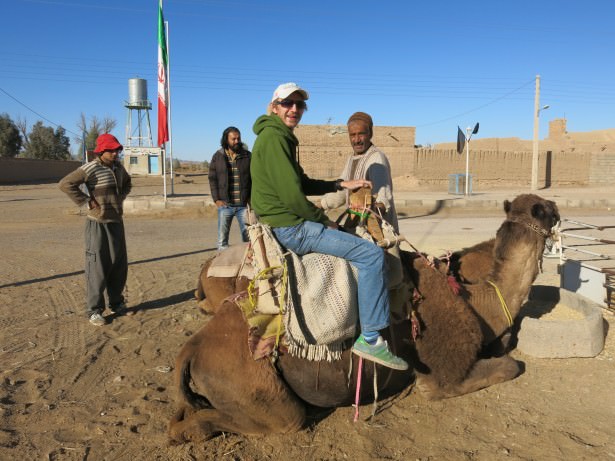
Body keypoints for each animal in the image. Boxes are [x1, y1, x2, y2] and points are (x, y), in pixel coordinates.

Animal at [171, 192, 560, 440]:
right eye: (542, 210)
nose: (556, 206)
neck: (480, 302)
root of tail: (191, 349)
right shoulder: (442, 372)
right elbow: (510, 365)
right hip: (257, 388)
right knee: (274, 420)